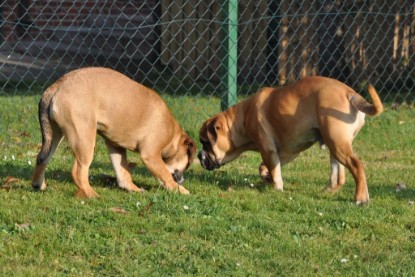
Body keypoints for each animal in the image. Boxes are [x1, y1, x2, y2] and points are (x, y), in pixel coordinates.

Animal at [31, 66, 197, 196]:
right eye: (187, 163)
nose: (183, 180)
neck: (172, 136)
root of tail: (56, 86)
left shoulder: (115, 146)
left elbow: (123, 171)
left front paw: (133, 188)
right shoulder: (151, 155)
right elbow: (165, 175)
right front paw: (180, 190)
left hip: (54, 135)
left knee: (42, 158)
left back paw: (39, 185)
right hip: (84, 139)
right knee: (78, 171)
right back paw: (91, 194)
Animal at [200, 75, 386, 203]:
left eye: (205, 143)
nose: (199, 155)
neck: (242, 119)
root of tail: (350, 93)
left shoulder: (267, 148)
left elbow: (272, 169)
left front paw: (276, 187)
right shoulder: (286, 153)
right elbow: (266, 167)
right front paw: (268, 178)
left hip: (338, 143)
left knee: (357, 165)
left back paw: (361, 198)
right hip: (334, 145)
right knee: (338, 176)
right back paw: (327, 192)